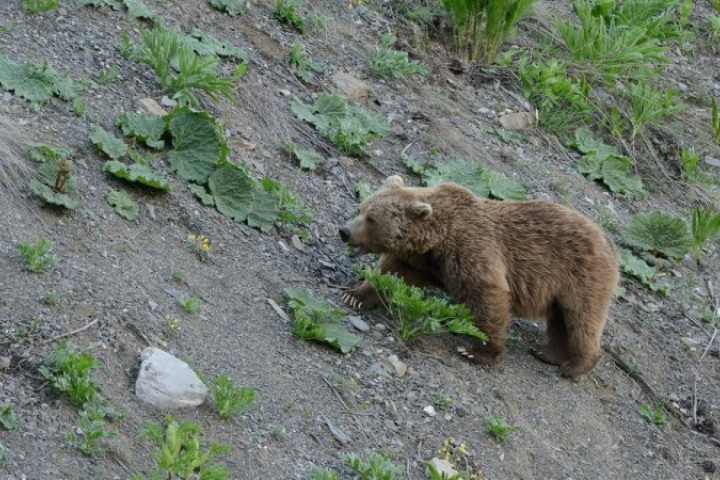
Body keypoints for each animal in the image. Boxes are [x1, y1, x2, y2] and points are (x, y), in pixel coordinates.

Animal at [339, 175, 619, 379]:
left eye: (371, 219)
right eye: (360, 208)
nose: (344, 231)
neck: (435, 240)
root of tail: (609, 242)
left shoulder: (471, 248)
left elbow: (488, 295)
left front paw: (477, 351)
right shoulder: (422, 262)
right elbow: (389, 273)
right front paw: (355, 295)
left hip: (581, 276)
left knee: (581, 319)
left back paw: (574, 366)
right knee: (560, 320)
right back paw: (547, 352)